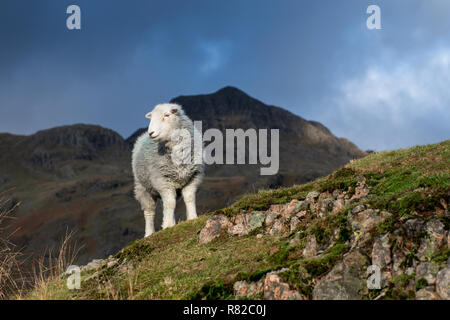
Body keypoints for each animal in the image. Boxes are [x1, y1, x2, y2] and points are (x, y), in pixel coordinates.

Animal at [132, 104, 204, 236]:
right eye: (151, 118)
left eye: (167, 115)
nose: (151, 133)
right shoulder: (163, 181)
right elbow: (170, 203)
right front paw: (168, 225)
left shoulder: (193, 176)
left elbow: (189, 198)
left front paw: (192, 218)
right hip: (143, 187)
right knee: (149, 211)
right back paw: (149, 233)